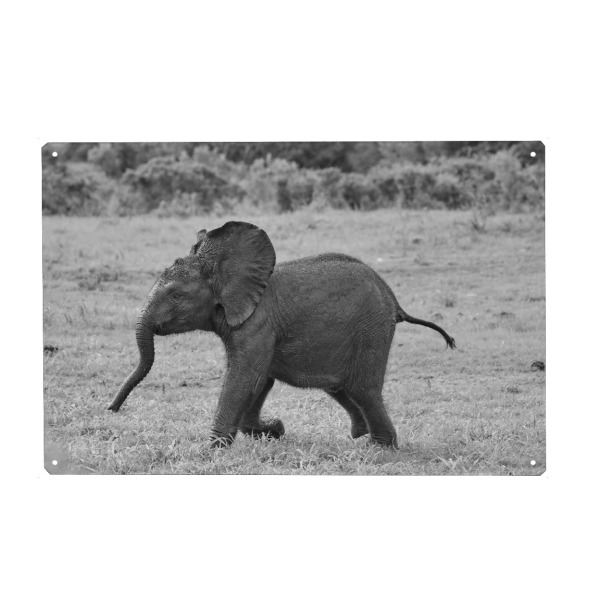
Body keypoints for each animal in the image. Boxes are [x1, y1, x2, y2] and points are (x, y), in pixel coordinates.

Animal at [108, 221, 455, 449]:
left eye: (177, 295)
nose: (111, 410)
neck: (224, 269)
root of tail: (393, 299)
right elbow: (260, 380)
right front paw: (273, 430)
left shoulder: (258, 324)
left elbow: (245, 377)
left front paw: (213, 449)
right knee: (341, 387)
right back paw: (360, 436)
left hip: (372, 330)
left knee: (364, 389)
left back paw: (379, 447)